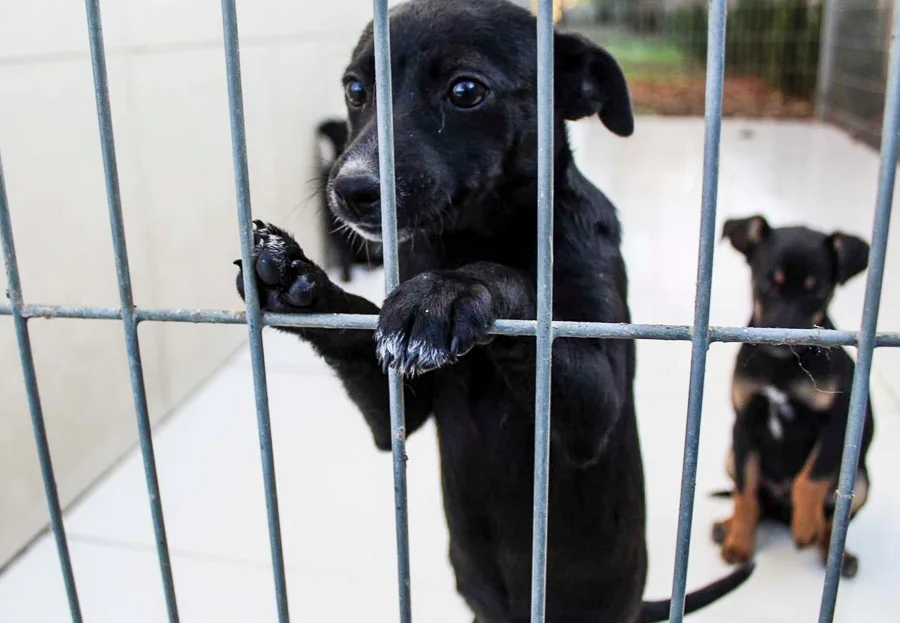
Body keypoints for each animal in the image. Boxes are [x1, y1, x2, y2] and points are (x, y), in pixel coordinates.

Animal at [712, 214, 876, 580]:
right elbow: (745, 494)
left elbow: (810, 478)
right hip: (730, 455)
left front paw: (806, 526)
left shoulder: (837, 423)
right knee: (755, 500)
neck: (781, 368)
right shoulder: (743, 426)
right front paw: (739, 543)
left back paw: (833, 552)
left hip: (859, 480)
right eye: (768, 283)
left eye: (818, 291)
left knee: (834, 519)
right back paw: (726, 526)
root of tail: (780, 511)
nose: (784, 339)